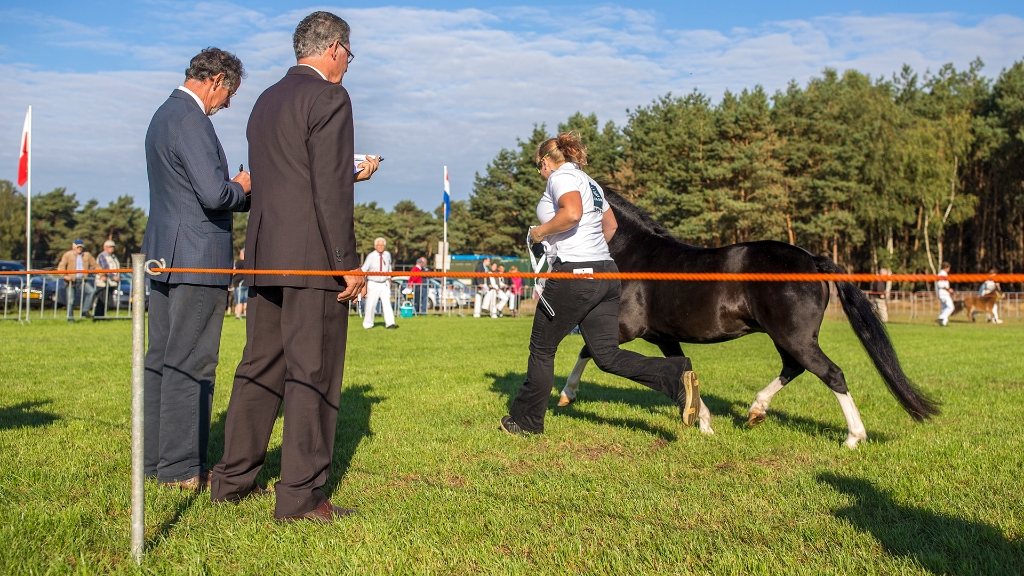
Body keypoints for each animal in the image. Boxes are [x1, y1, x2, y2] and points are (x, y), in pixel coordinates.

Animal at [557, 190, 937, 446]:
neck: (635, 254)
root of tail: (812, 260)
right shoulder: (663, 336)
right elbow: (682, 368)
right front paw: (704, 422)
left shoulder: (624, 328)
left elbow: (588, 351)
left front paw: (567, 394)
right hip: (788, 338)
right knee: (794, 368)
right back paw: (756, 411)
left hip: (794, 337)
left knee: (831, 373)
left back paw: (853, 437)